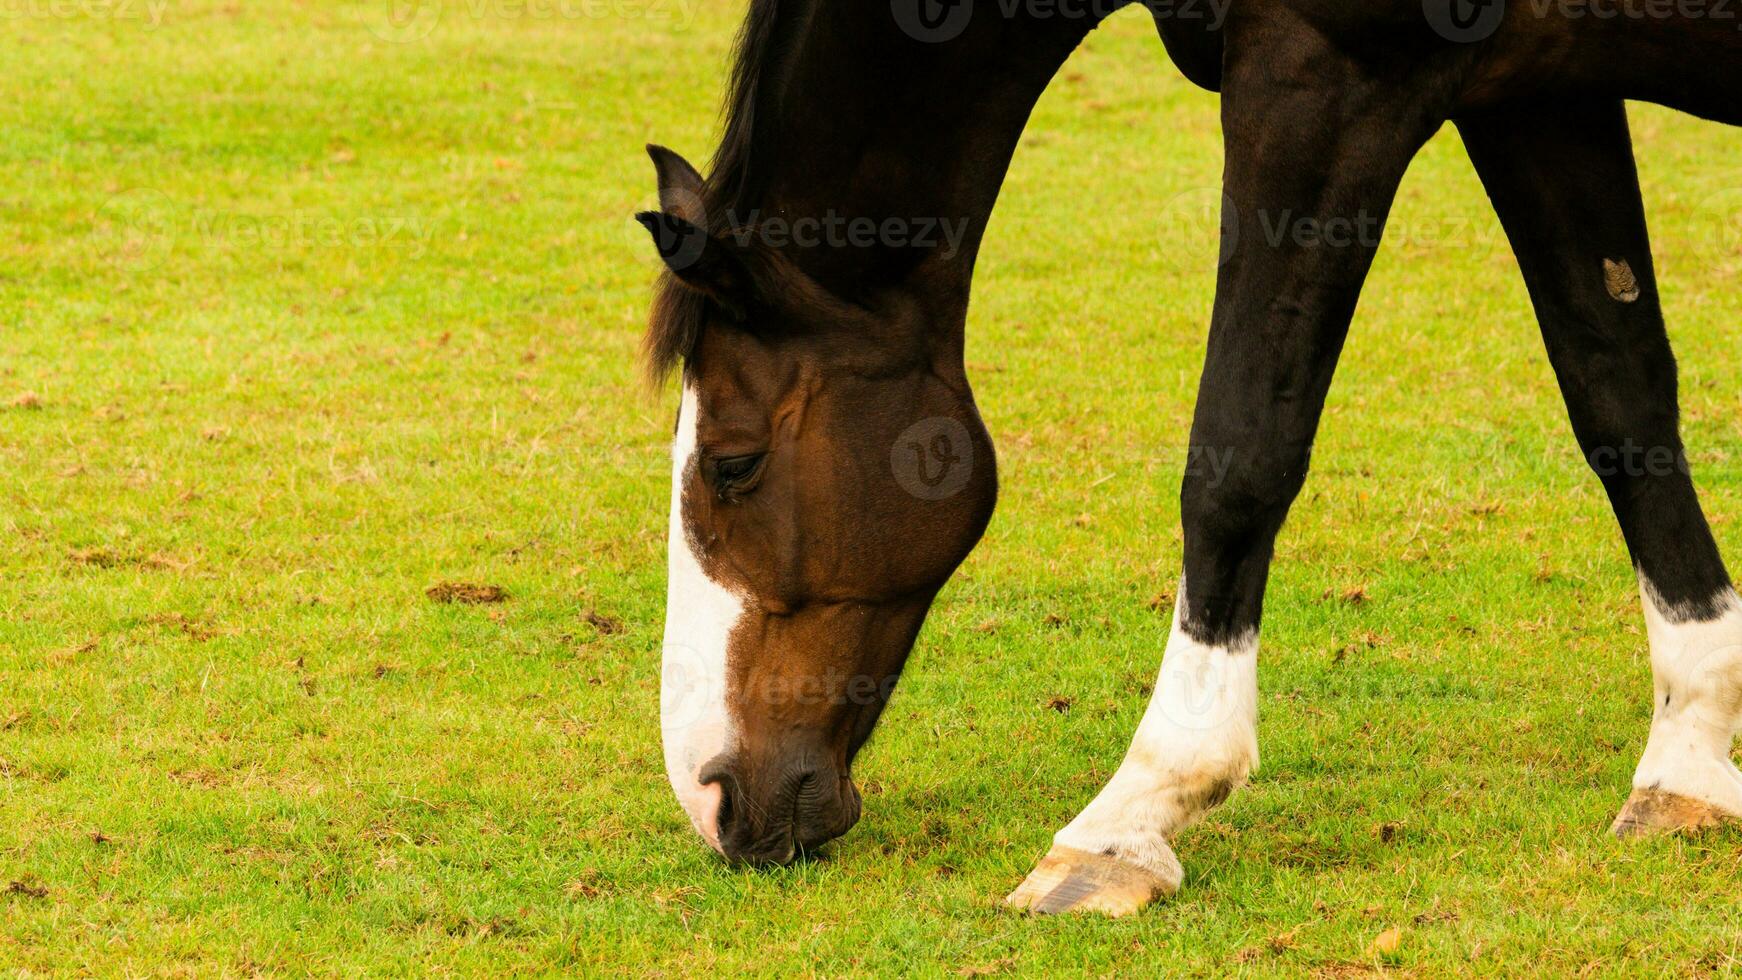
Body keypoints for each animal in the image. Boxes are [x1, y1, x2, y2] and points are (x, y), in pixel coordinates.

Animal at [634, 1, 1742, 919]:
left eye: (732, 463)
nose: (709, 793)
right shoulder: (1540, 93)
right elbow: (1616, 391)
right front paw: (1686, 755)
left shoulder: (1321, 79)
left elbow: (1239, 454)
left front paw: (1130, 813)